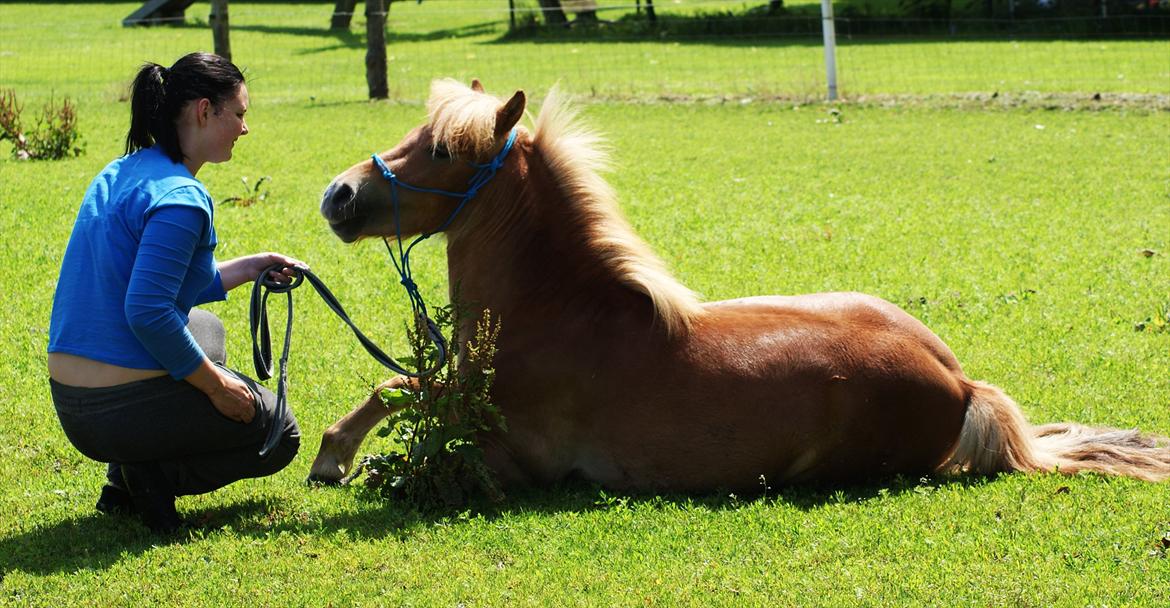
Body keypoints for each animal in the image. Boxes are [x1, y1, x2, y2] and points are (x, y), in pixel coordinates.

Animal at [308, 79, 1170, 488]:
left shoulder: (510, 459)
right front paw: (338, 457)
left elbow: (409, 407)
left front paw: (339, 460)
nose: (339, 195)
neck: (557, 316)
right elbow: (400, 386)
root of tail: (961, 385)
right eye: (418, 132)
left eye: (445, 151)